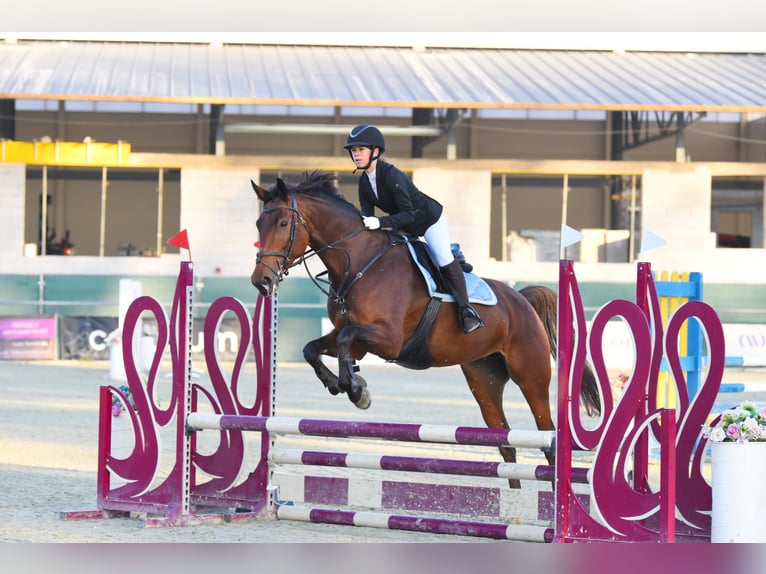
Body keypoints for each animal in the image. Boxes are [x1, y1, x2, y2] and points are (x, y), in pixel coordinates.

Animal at [249, 169, 604, 488]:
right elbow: (313, 348)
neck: (360, 263)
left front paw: (357, 390)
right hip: (484, 381)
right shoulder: (352, 338)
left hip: (531, 376)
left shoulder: (388, 339)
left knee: (548, 440)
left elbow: (348, 342)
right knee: (507, 447)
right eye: (258, 224)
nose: (261, 281)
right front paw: (340, 382)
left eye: (283, 223)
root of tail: (522, 300)